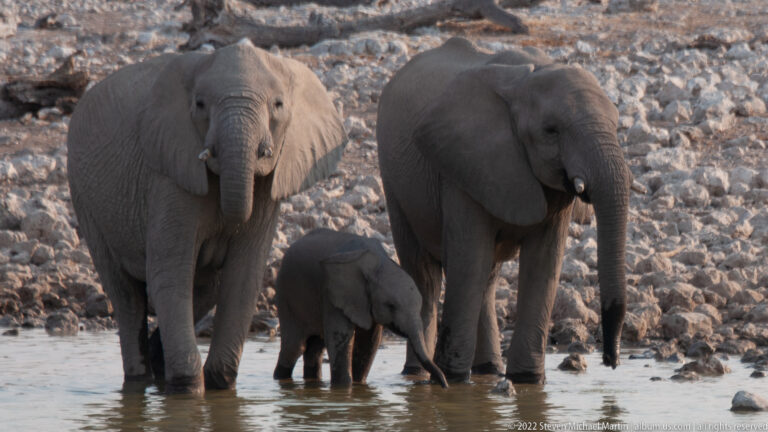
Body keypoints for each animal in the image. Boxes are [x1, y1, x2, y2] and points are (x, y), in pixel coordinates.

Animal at [66, 39, 346, 393]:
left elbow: (243, 276)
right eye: (200, 105)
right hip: (84, 197)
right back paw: (141, 378)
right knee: (126, 294)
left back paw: (158, 366)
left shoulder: (268, 187)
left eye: (278, 105)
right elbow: (170, 273)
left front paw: (220, 386)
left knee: (204, 289)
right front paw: (188, 390)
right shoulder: (170, 174)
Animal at [272, 229, 448, 388]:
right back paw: (281, 380)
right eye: (391, 306)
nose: (444, 385)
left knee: (315, 348)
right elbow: (341, 336)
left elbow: (369, 341)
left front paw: (359, 385)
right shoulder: (334, 293)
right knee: (294, 347)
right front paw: (343, 389)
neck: (380, 264)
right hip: (286, 294)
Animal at [376, 37, 633, 384]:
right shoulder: (463, 163)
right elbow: (468, 260)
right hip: (394, 181)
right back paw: (418, 374)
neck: (527, 79)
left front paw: (527, 380)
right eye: (551, 131)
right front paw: (454, 381)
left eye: (617, 126)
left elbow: (544, 264)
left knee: (487, 278)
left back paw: (488, 370)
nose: (611, 360)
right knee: (426, 278)